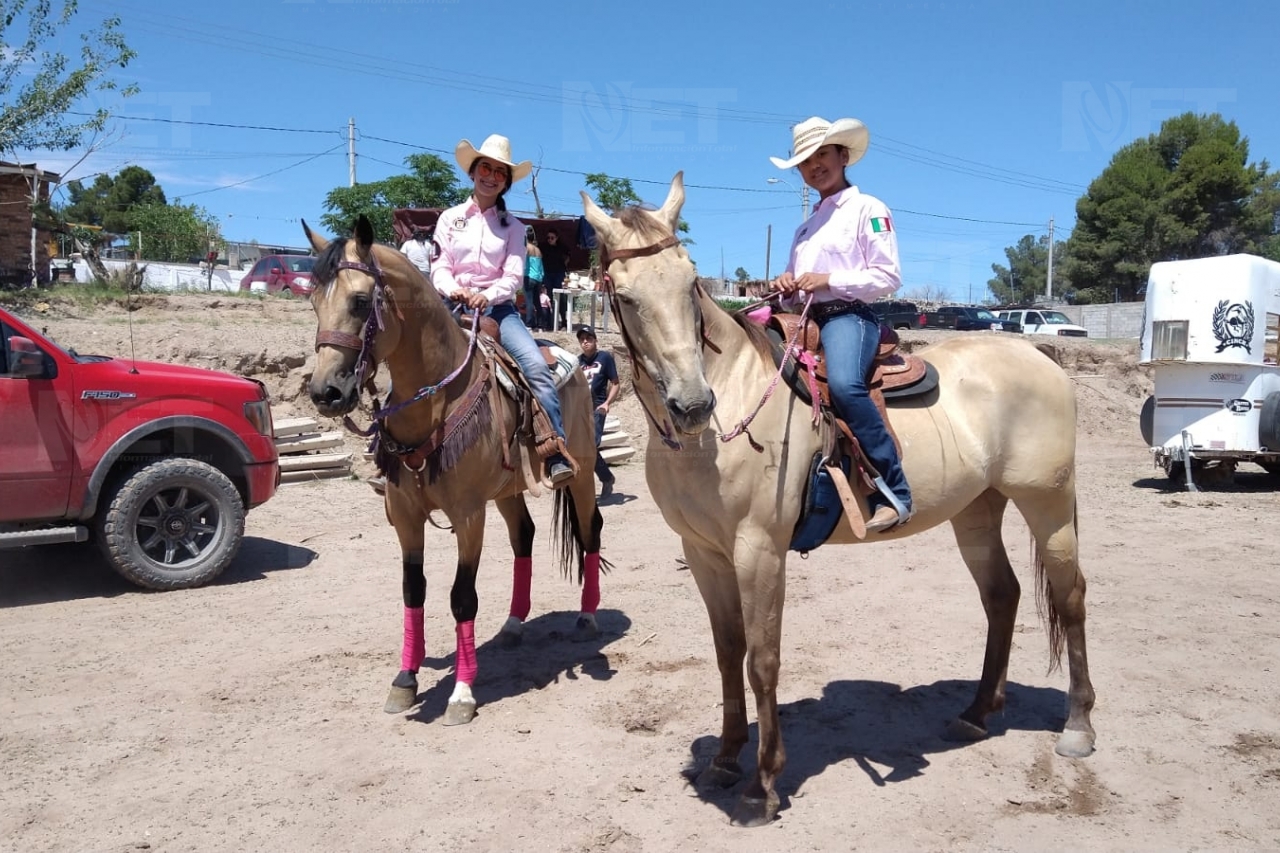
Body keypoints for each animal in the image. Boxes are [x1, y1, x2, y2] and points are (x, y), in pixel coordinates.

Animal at [303, 213, 604, 722]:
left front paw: (462, 693)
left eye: (361, 301)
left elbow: (462, 597)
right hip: (507, 490)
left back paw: (588, 614)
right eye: (312, 300)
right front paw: (405, 679)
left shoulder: (468, 514)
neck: (434, 403)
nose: (326, 392)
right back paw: (513, 623)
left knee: (590, 529)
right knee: (524, 535)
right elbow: (413, 590)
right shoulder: (406, 517)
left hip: (579, 473)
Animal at [578, 174, 1090, 824]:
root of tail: (1040, 358)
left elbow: (762, 659)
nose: (692, 404)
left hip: (1046, 503)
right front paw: (725, 758)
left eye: (690, 280)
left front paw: (764, 784)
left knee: (1070, 599)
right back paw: (977, 714)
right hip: (978, 510)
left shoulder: (759, 551)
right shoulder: (703, 553)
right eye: (623, 293)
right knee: (1002, 595)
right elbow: (727, 652)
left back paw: (1077, 727)